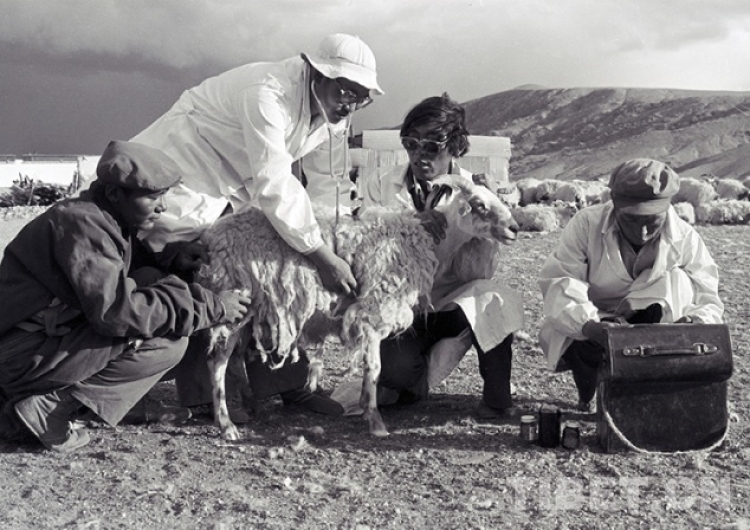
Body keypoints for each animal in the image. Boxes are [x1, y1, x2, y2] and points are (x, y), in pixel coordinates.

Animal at [194, 174, 520, 440]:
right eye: (479, 204)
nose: (514, 228)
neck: (427, 240)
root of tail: (211, 237)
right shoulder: (373, 311)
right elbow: (374, 368)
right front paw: (374, 420)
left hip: (252, 310)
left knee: (235, 359)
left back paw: (248, 406)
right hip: (234, 300)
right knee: (216, 361)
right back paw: (226, 424)